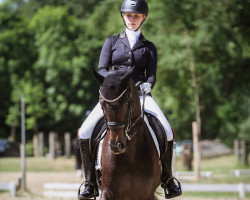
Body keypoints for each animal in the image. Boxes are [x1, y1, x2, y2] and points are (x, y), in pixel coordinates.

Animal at [92, 67, 160, 200]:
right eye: (102, 104)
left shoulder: (147, 194)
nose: (116, 145)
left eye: (125, 101)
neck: (130, 153)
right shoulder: (107, 192)